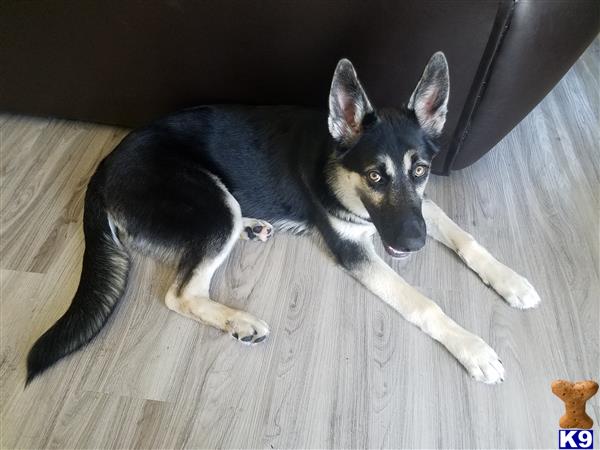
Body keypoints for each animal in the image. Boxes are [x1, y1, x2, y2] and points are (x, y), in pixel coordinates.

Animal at [25, 51, 540, 384]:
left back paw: (254, 226)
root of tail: (106, 164)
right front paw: (472, 348)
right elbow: (423, 303)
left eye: (420, 171)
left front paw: (510, 280)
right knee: (182, 293)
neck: (338, 163)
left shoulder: (420, 206)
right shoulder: (355, 250)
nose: (414, 244)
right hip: (213, 206)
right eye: (375, 176)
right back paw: (239, 320)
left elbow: (466, 238)